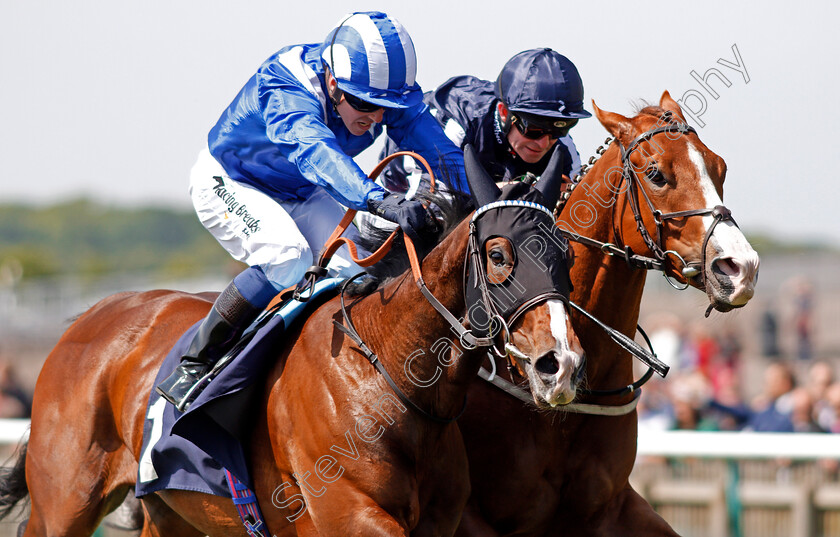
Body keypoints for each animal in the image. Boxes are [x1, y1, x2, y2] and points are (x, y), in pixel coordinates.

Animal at [0, 148, 584, 536]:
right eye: (500, 254)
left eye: (566, 254)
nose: (561, 364)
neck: (388, 374)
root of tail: (87, 318)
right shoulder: (351, 515)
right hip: (64, 502)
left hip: (173, 510)